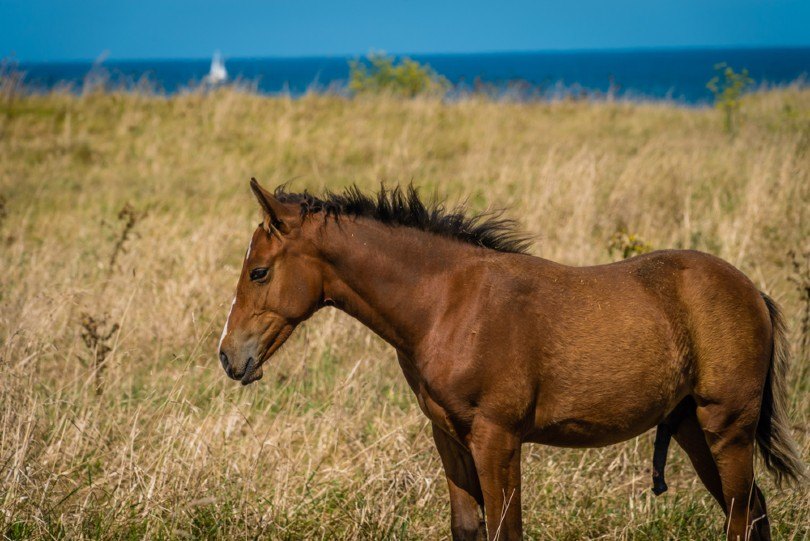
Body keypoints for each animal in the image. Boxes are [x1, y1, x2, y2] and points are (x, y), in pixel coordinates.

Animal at [216, 181, 800, 540]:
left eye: (259, 272)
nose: (229, 355)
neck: (446, 304)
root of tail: (752, 292)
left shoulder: (497, 438)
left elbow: (504, 529)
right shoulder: (449, 437)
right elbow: (469, 527)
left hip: (727, 426)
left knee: (741, 516)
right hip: (693, 429)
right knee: (752, 511)